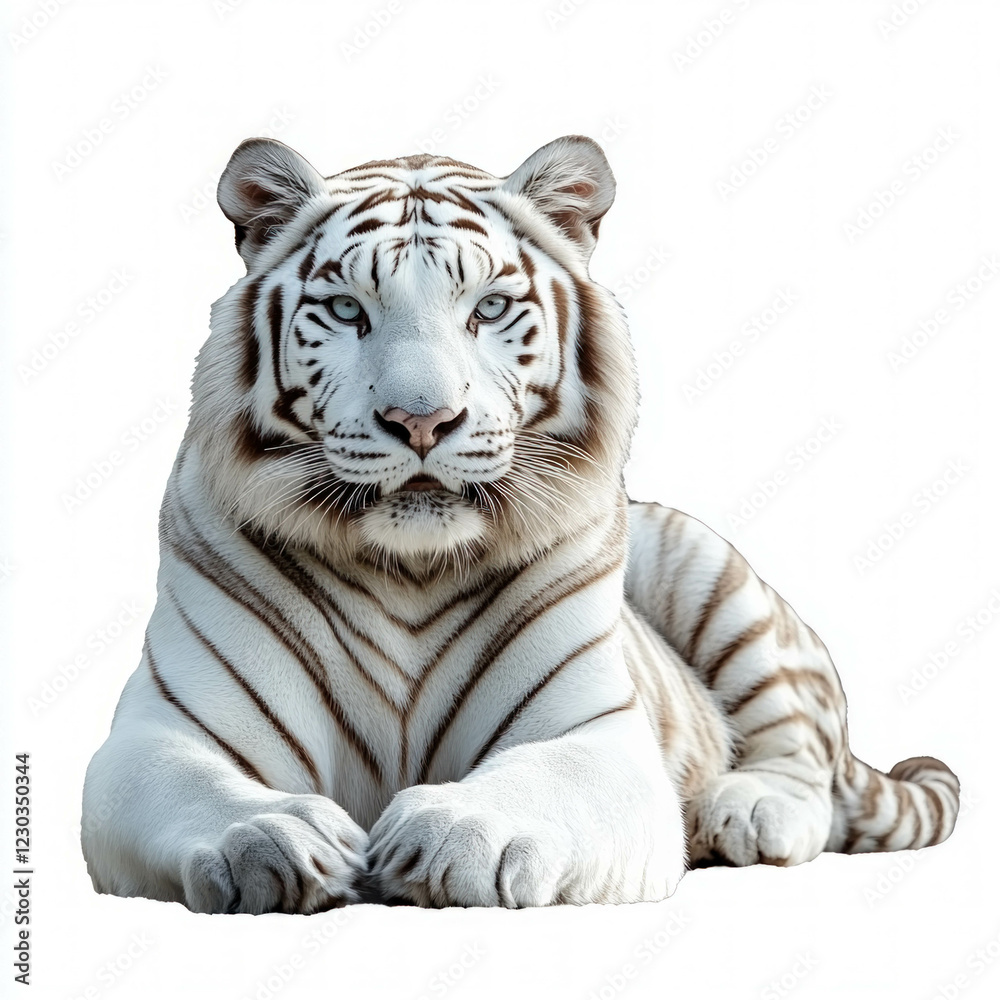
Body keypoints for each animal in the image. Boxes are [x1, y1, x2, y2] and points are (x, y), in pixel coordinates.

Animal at [81, 135, 959, 913]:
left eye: (490, 308)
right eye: (346, 310)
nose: (422, 420)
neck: (406, 569)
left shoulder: (597, 735)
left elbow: (541, 781)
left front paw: (450, 834)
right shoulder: (159, 731)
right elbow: (195, 785)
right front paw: (275, 839)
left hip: (713, 575)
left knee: (800, 751)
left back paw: (745, 811)